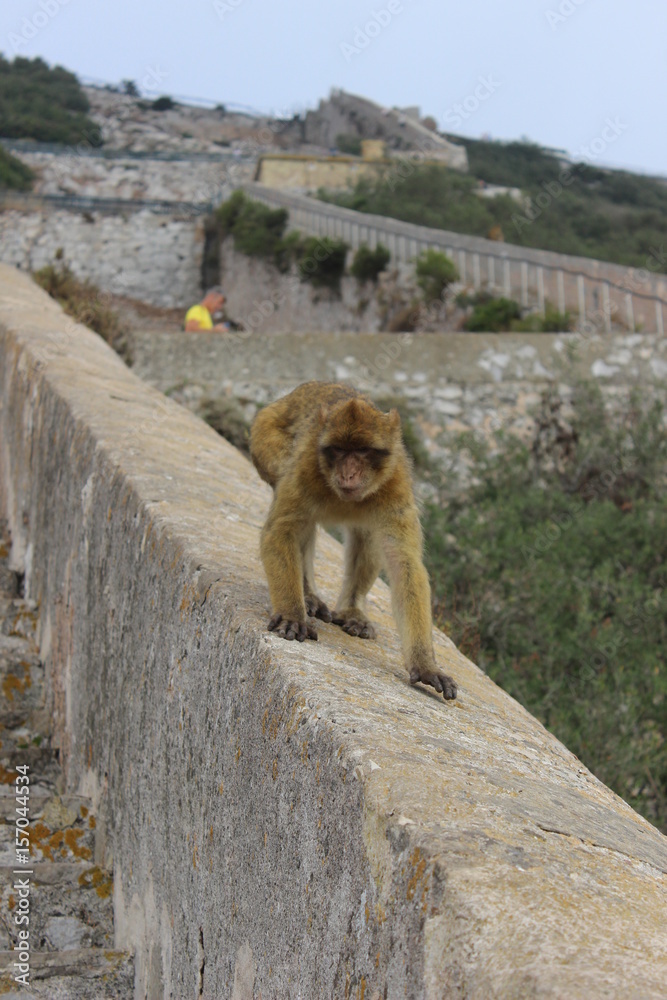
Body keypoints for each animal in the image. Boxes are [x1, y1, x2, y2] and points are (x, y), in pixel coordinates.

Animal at [250, 381, 457, 701]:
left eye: (362, 450)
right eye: (338, 450)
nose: (348, 474)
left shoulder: (395, 482)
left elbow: (405, 563)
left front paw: (425, 664)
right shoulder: (306, 465)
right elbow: (281, 531)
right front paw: (292, 614)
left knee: (367, 535)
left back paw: (351, 610)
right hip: (266, 439)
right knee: (301, 518)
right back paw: (307, 596)